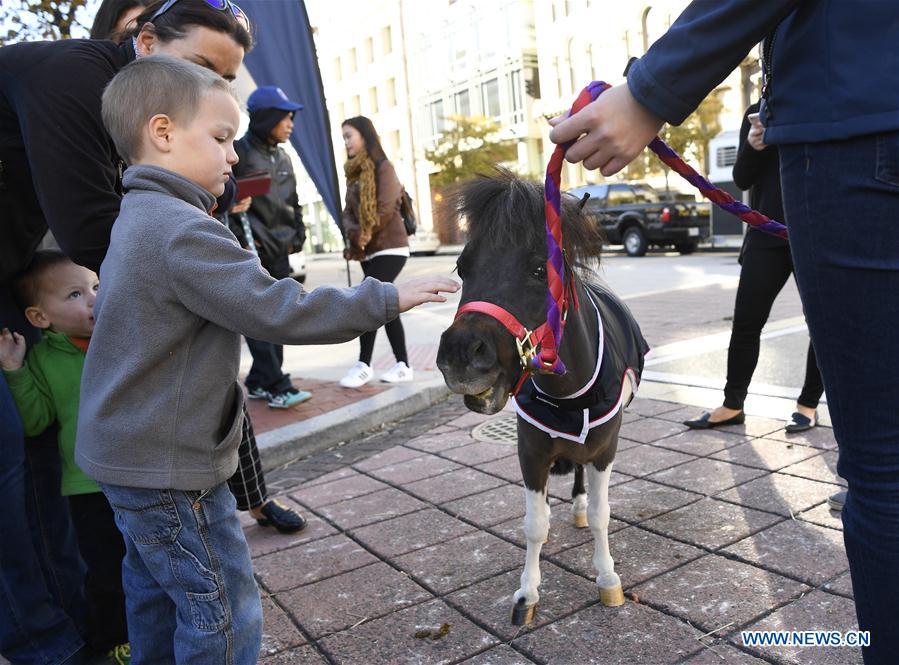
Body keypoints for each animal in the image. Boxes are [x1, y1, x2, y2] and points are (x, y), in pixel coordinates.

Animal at [436, 170, 648, 624]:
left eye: (538, 269)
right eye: (462, 267)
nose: (462, 356)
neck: (568, 395)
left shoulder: (605, 448)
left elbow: (603, 515)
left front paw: (607, 578)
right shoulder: (531, 450)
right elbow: (534, 524)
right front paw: (527, 593)